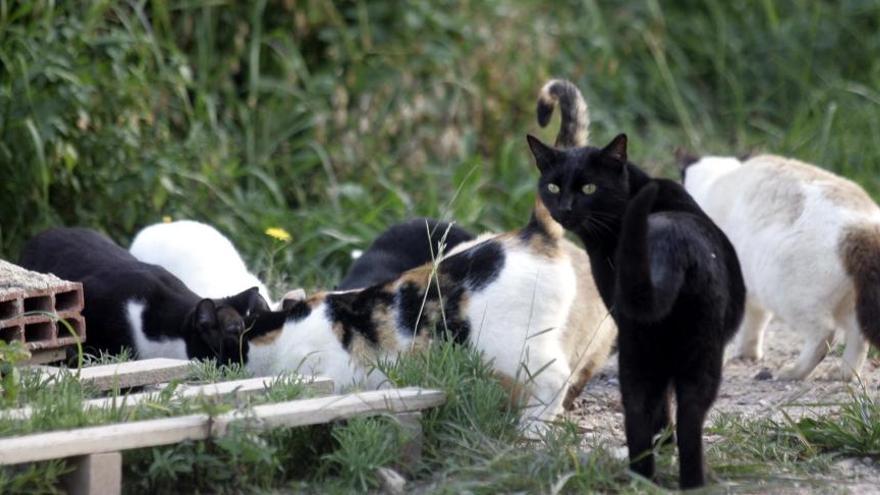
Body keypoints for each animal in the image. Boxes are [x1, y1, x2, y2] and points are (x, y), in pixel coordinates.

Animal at [524, 80, 744, 488]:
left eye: (589, 188)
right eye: (554, 187)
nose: (564, 207)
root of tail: (675, 247)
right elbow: (665, 408)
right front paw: (665, 443)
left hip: (644, 350)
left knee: (645, 413)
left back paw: (649, 477)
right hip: (688, 355)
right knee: (683, 416)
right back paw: (680, 479)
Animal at [684, 154, 880, 380]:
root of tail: (862, 229)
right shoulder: (751, 294)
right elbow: (753, 326)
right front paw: (747, 355)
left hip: (789, 298)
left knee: (824, 335)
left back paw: (791, 373)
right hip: (849, 304)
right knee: (858, 337)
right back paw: (843, 375)